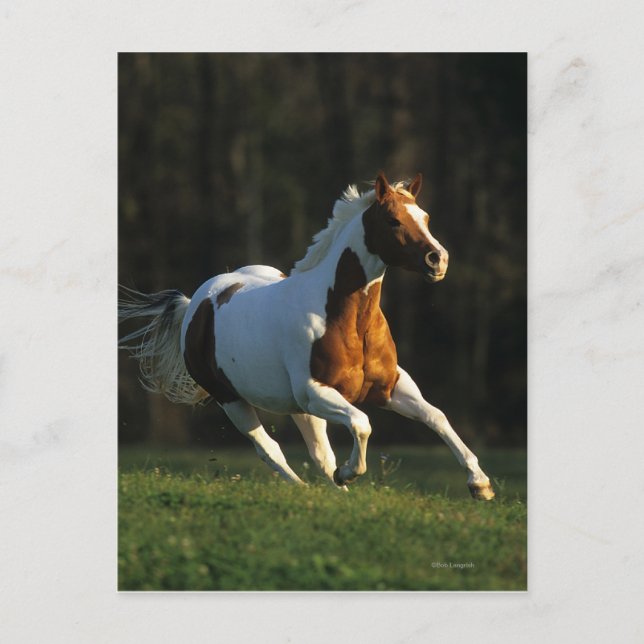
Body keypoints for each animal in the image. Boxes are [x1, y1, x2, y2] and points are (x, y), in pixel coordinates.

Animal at [119, 172, 495, 500]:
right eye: (393, 220)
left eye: (425, 217)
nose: (438, 259)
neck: (347, 320)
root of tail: (196, 304)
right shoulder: (316, 392)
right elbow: (362, 423)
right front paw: (348, 473)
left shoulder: (390, 386)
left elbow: (436, 416)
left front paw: (480, 484)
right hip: (233, 400)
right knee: (270, 450)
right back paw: (309, 488)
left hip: (296, 407)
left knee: (318, 453)